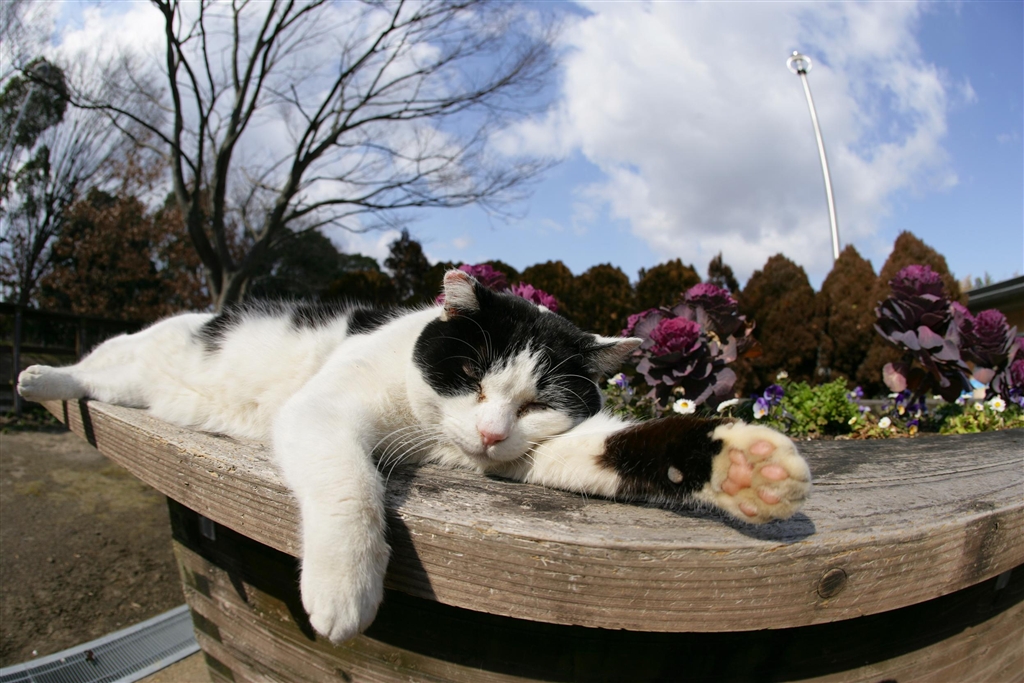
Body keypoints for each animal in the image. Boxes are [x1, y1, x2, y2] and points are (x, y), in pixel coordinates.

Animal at [17, 268, 810, 643]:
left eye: (536, 403)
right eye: (472, 375)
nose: (490, 432)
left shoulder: (533, 453)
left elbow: (616, 446)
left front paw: (746, 470)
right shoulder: (321, 412)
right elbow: (351, 484)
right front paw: (344, 586)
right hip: (129, 362)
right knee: (87, 368)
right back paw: (34, 377)